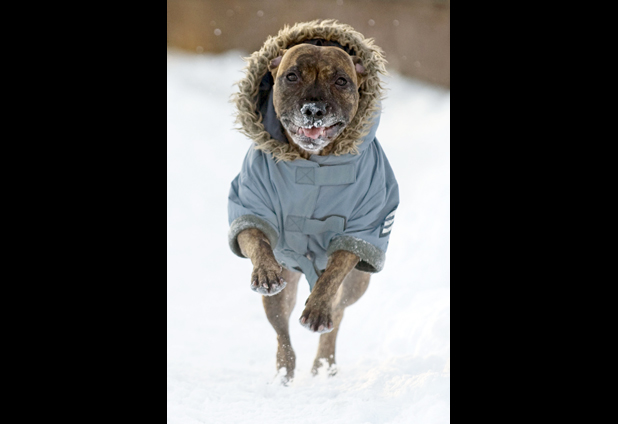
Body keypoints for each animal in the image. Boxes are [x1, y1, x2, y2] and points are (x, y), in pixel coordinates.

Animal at [228, 25, 399, 383]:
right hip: (283, 289)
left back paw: (323, 363)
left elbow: (334, 273)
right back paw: (285, 371)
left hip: (357, 284)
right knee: (281, 327)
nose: (313, 109)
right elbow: (255, 237)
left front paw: (318, 310)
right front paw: (265, 271)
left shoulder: (363, 228)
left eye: (342, 81)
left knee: (338, 313)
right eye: (291, 76)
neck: (313, 162)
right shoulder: (250, 202)